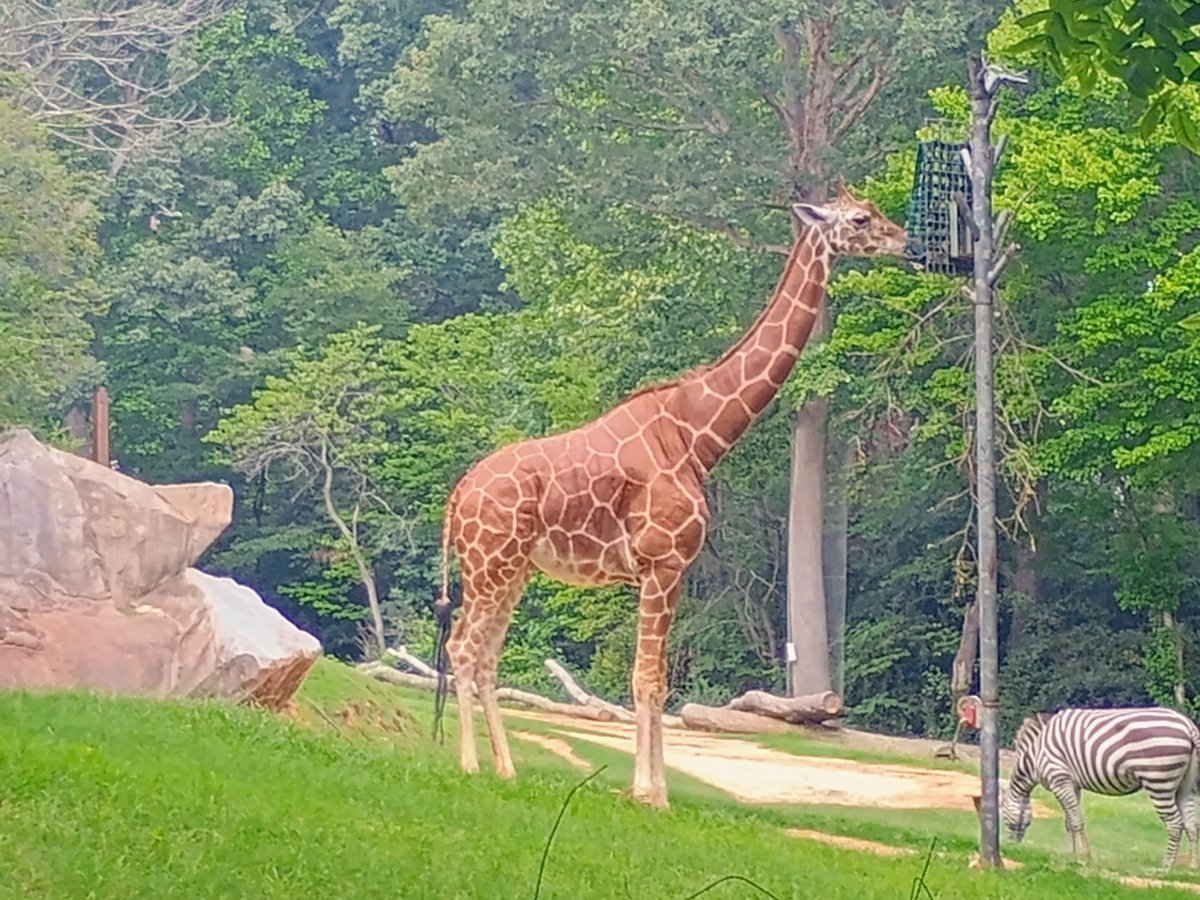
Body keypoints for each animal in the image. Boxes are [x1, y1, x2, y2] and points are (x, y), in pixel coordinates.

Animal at [434, 184, 908, 808]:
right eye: (859, 219)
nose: (906, 240)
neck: (698, 436)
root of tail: (458, 494)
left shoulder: (674, 571)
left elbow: (660, 680)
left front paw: (658, 791)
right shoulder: (660, 564)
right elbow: (644, 678)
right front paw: (645, 792)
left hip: (512, 569)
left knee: (485, 654)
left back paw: (506, 770)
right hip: (489, 565)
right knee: (463, 648)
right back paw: (467, 765)